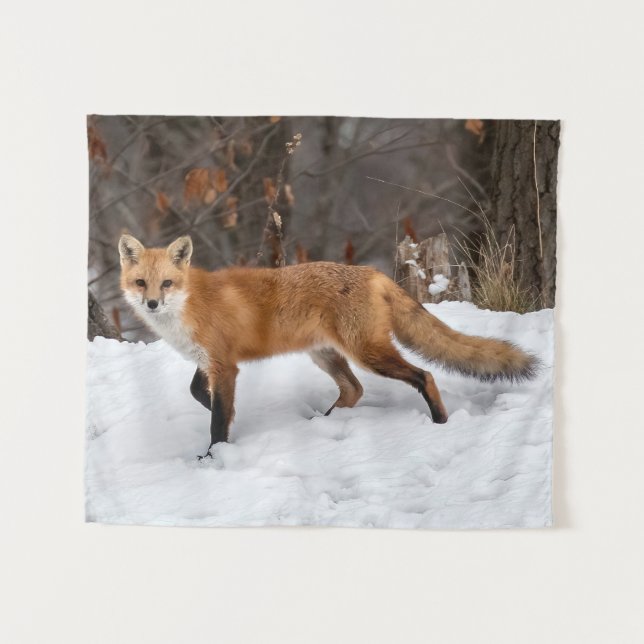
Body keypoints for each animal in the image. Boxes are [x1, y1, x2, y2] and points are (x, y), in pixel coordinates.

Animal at [119, 234, 538, 458]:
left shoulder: (224, 365)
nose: (151, 303)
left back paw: (440, 423)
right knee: (354, 390)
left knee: (424, 375)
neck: (187, 305)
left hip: (367, 353)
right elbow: (198, 393)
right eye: (141, 283)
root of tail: (372, 272)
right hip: (325, 355)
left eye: (167, 283)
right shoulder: (212, 361)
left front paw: (213, 456)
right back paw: (325, 422)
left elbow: (219, 417)